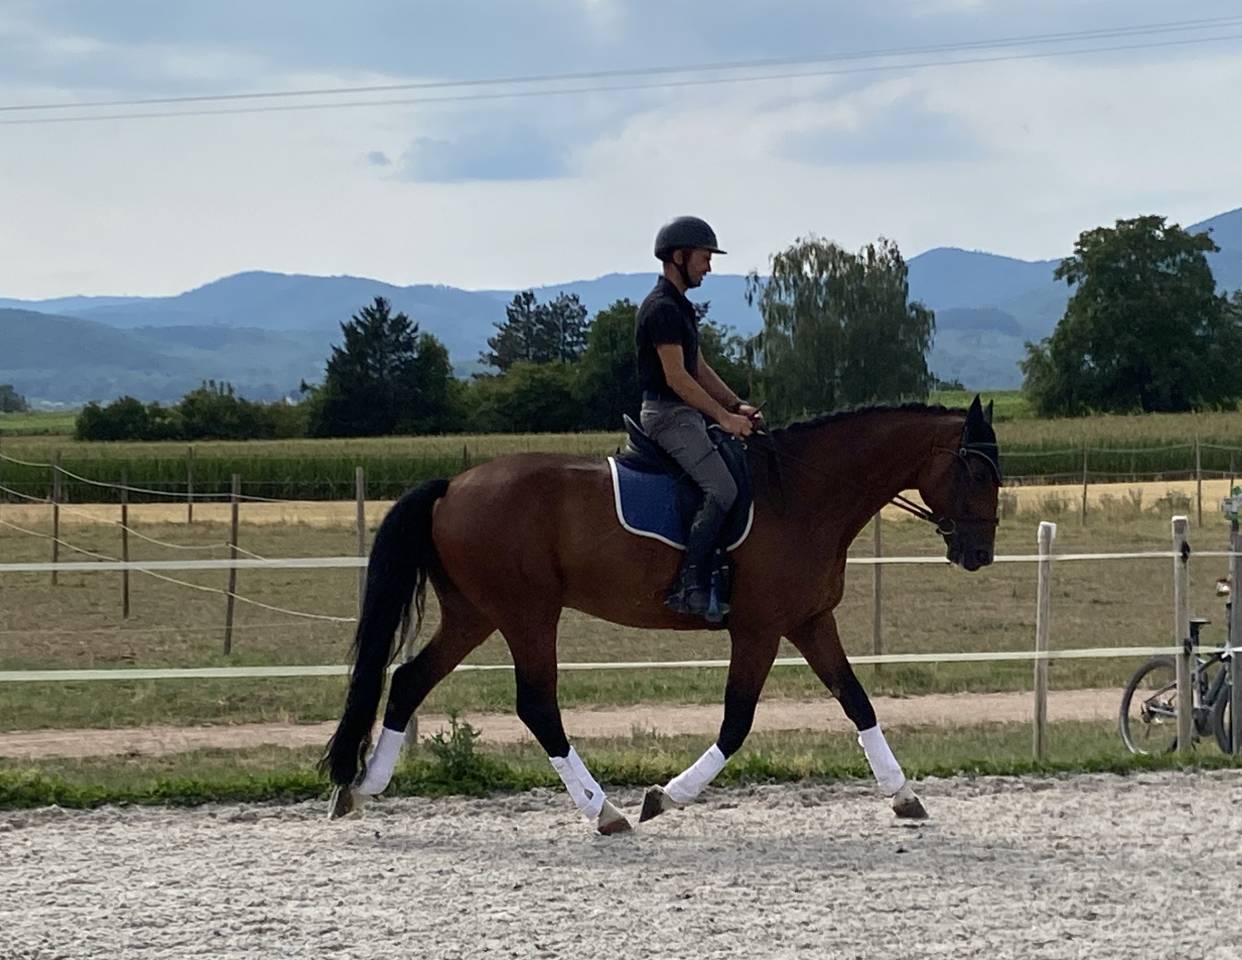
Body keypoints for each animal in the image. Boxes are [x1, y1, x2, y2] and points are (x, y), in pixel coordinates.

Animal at [322, 395, 1002, 833]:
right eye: (975, 469)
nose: (979, 555)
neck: (804, 493)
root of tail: (452, 486)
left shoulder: (810, 622)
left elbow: (857, 701)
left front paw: (904, 797)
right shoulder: (758, 629)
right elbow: (736, 722)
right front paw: (664, 798)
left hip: (475, 614)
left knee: (409, 679)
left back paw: (361, 788)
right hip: (527, 614)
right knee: (537, 705)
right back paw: (605, 812)